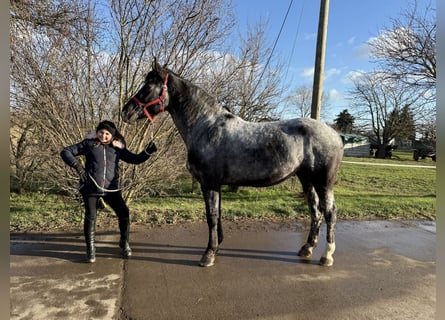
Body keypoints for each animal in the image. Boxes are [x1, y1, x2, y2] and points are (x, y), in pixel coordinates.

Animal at [120, 60, 344, 268]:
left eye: (149, 86)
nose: (125, 112)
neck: (206, 126)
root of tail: (336, 135)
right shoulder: (216, 184)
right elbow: (217, 215)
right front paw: (217, 247)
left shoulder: (209, 183)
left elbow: (211, 216)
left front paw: (208, 254)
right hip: (307, 180)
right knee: (315, 212)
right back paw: (307, 248)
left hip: (323, 182)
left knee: (330, 213)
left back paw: (326, 256)